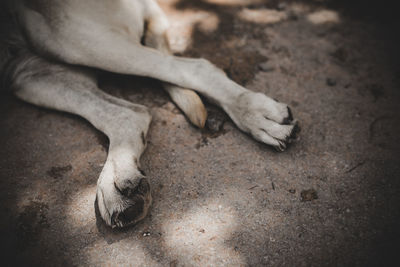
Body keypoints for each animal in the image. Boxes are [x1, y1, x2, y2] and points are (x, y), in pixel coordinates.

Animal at [0, 0, 296, 229]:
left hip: (65, 37)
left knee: (193, 68)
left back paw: (257, 113)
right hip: (29, 74)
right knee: (130, 115)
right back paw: (119, 181)